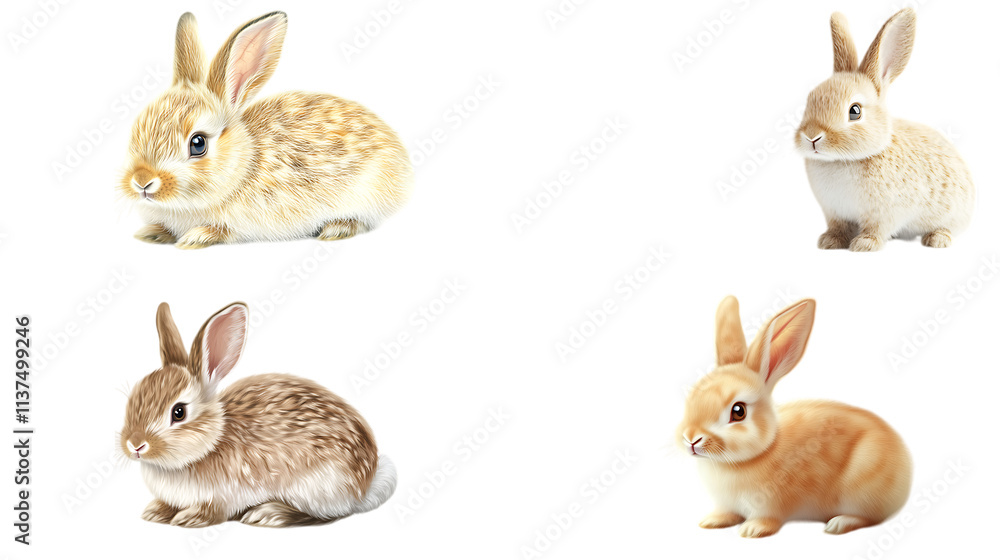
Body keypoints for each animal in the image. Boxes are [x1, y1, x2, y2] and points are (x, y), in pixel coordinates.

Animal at [118, 12, 413, 249]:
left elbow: (222, 230)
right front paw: (152, 233)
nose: (142, 181)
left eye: (198, 143)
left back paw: (337, 228)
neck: (242, 168)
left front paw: (196, 237)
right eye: (137, 128)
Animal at [118, 302, 397, 527]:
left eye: (179, 412)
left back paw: (268, 514)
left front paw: (189, 518)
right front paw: (156, 511)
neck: (209, 442)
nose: (135, 445)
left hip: (315, 486)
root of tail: (366, 484)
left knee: (323, 514)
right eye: (133, 398)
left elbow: (213, 512)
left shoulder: (223, 495)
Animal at [676, 296, 912, 538]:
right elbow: (727, 513)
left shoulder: (770, 504)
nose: (691, 438)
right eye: (692, 396)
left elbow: (767, 519)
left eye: (738, 411)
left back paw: (839, 523)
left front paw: (752, 529)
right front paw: (712, 521)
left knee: (870, 516)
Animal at [795, 8, 974, 251]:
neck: (844, 160)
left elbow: (876, 229)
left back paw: (937, 239)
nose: (811, 136)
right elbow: (838, 227)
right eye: (810, 99)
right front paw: (829, 241)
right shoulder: (834, 213)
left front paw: (864, 245)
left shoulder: (884, 214)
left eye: (855, 111)